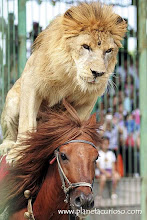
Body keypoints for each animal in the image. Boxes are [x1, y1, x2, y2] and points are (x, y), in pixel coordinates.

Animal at [0, 0, 126, 157]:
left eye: (108, 50)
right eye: (85, 46)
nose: (98, 73)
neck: (71, 77)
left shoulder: (89, 101)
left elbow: (77, 124)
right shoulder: (31, 81)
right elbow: (26, 121)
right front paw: (19, 154)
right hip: (12, 100)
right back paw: (7, 147)